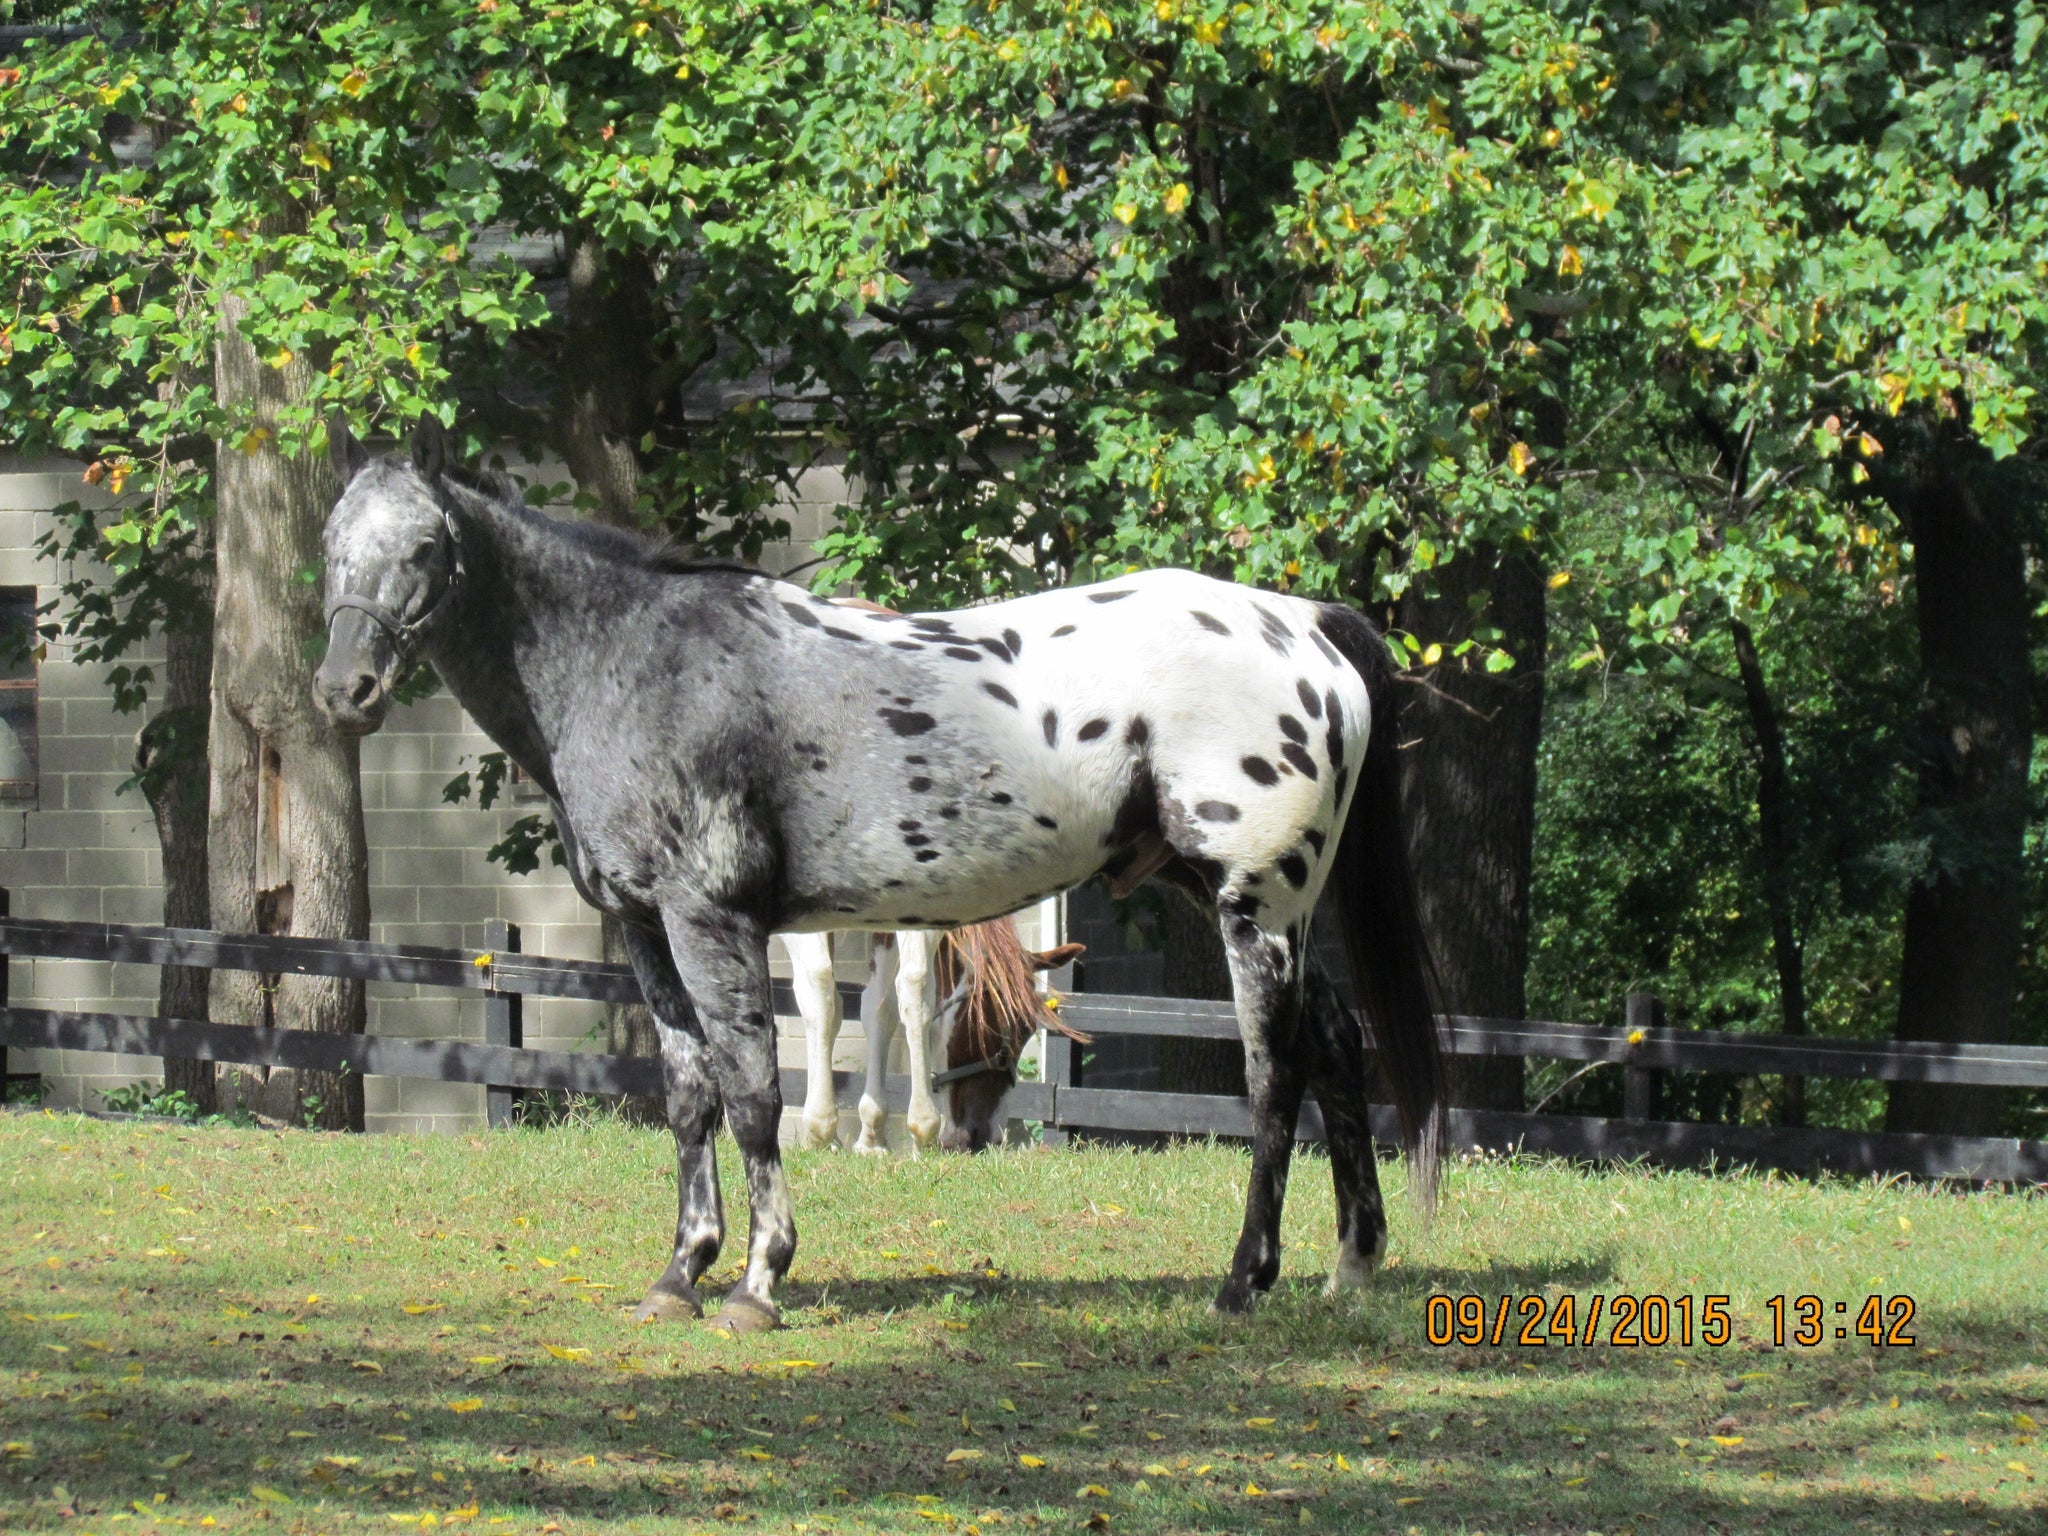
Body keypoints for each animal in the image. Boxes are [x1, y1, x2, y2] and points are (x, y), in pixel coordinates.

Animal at [315, 417, 1441, 1335]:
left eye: (423, 547)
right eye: (331, 547)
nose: (344, 690)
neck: (637, 664)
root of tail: (1301, 624)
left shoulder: (713, 922)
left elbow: (753, 1091)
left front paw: (756, 1282)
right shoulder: (645, 931)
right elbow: (688, 1095)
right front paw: (680, 1274)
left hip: (1256, 909)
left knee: (1276, 1075)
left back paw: (1243, 1280)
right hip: (1260, 907)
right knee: (1335, 1047)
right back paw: (1348, 1269)